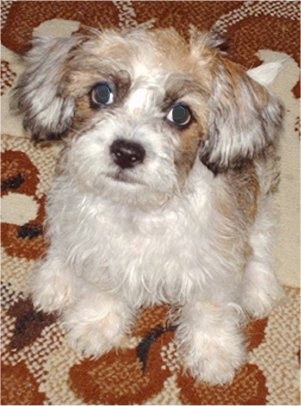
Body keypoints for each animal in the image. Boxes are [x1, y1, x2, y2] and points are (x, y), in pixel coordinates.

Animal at [12, 27, 284, 384]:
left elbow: (209, 308)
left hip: (258, 195)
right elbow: (102, 286)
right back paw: (54, 280)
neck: (140, 211)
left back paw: (259, 288)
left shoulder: (213, 261)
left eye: (180, 114)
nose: (126, 152)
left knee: (261, 239)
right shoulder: (100, 249)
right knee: (62, 239)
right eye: (102, 93)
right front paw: (97, 324)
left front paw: (214, 353)